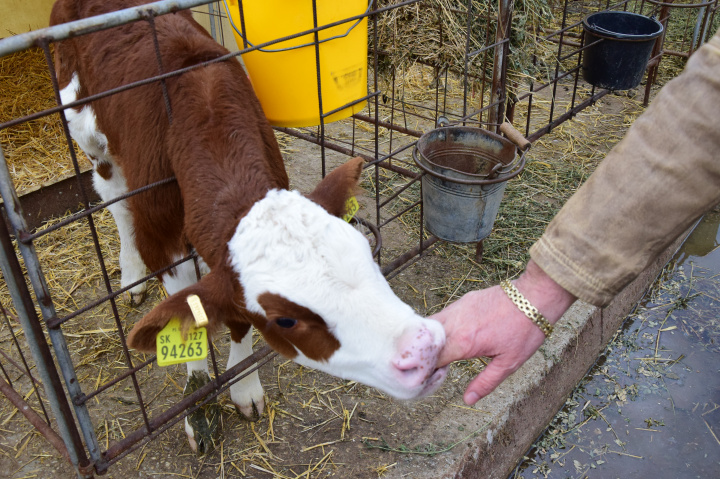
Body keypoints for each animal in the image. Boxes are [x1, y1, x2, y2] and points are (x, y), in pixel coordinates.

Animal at [49, 0, 444, 454]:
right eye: (285, 320)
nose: (424, 349)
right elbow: (186, 321)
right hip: (84, 127)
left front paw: (244, 389)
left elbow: (236, 323)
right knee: (112, 195)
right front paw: (199, 407)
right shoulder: (162, 238)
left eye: (367, 257)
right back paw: (130, 274)